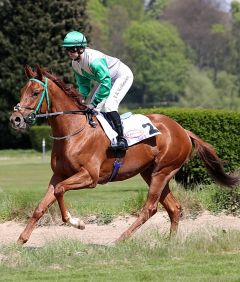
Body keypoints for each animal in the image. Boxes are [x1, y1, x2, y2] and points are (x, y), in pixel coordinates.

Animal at [9, 64, 240, 245]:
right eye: (21, 90)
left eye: (35, 92)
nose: (15, 119)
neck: (74, 131)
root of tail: (183, 130)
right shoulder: (58, 175)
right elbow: (42, 205)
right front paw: (20, 240)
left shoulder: (90, 177)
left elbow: (59, 191)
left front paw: (77, 223)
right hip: (152, 173)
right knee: (174, 208)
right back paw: (170, 242)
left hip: (162, 172)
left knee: (150, 208)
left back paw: (120, 239)